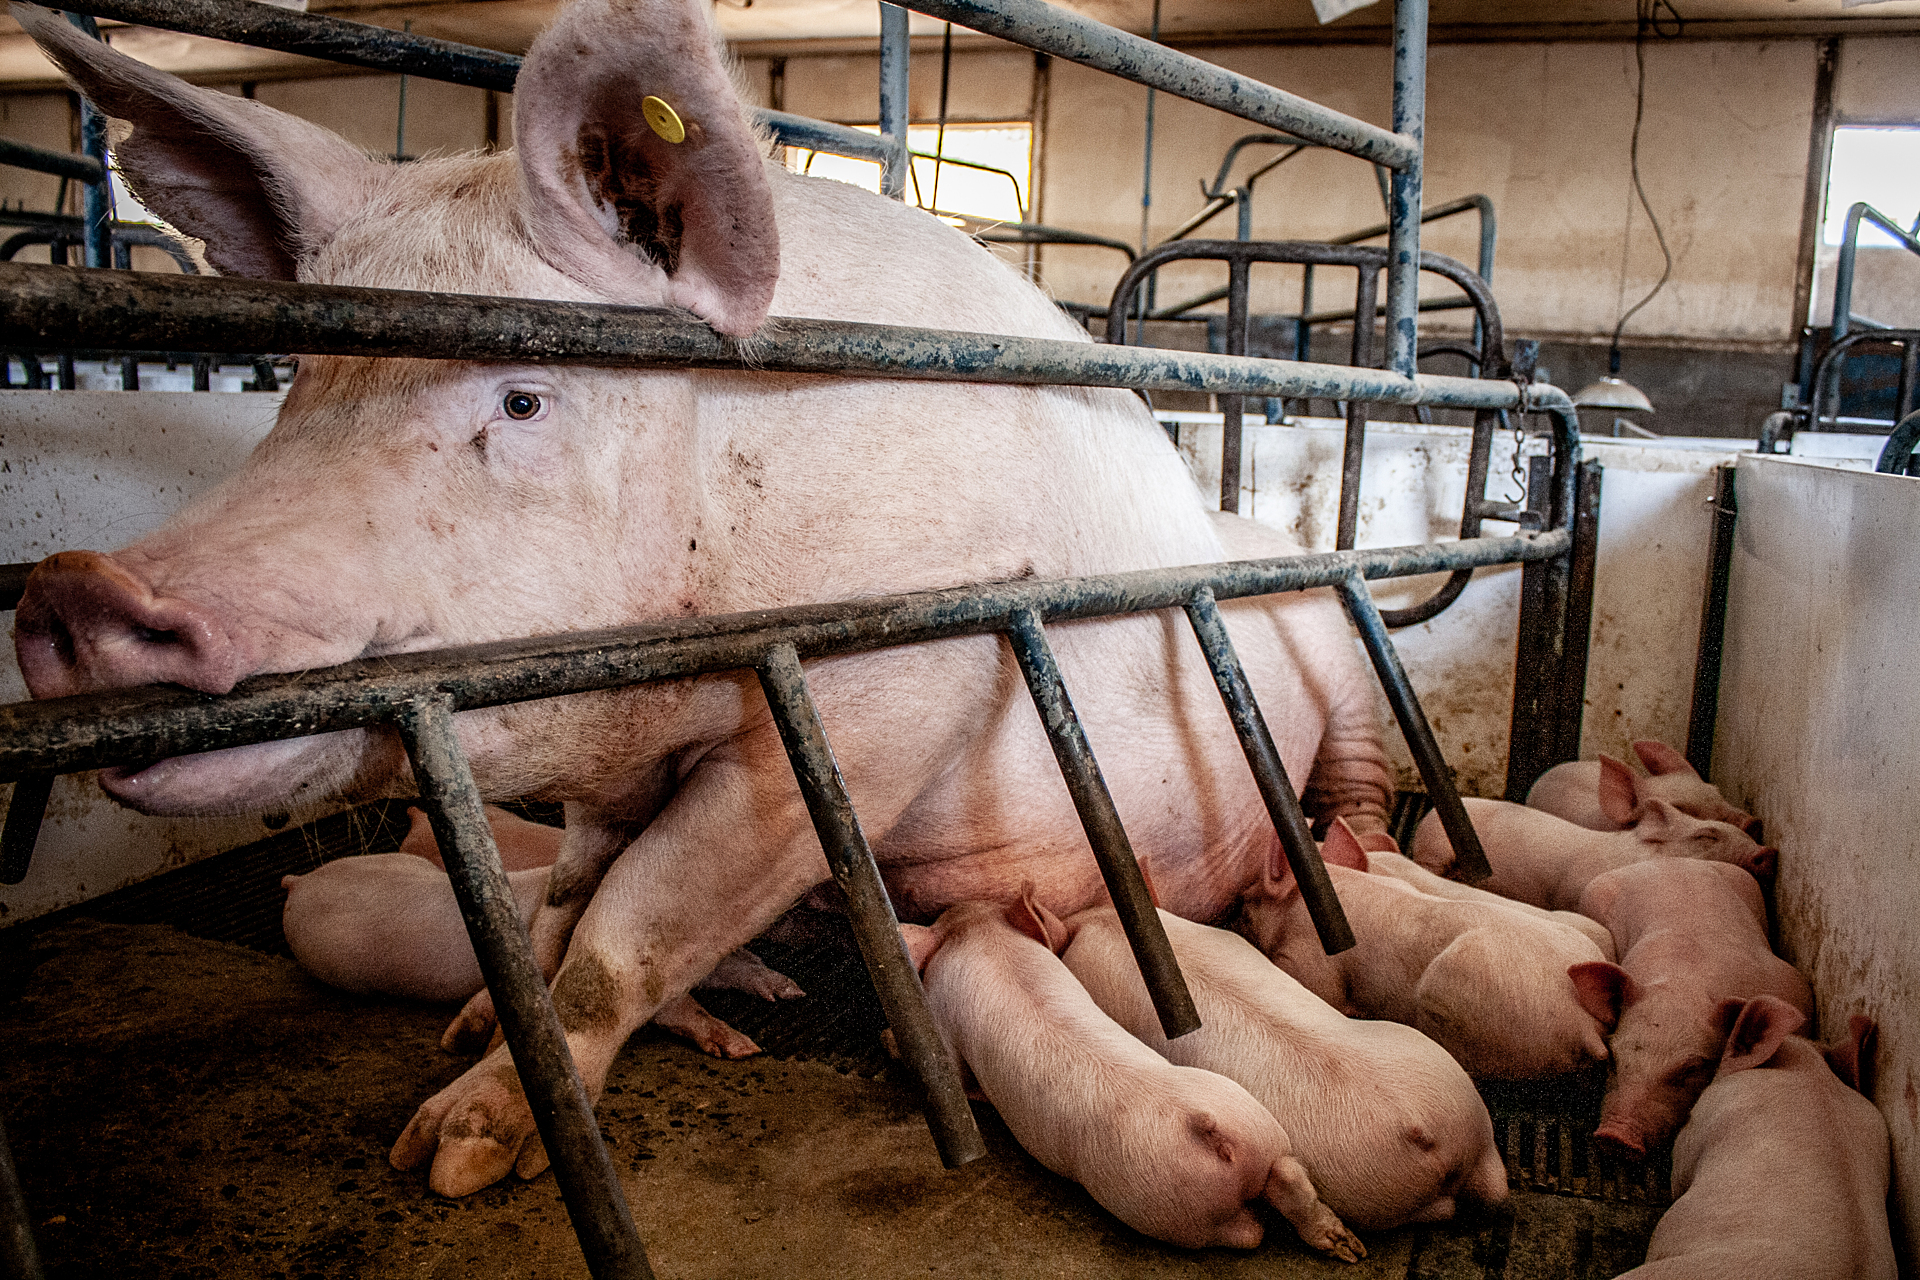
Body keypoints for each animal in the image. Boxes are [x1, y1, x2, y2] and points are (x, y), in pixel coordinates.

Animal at [12, 0, 1397, 1196]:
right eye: (298, 381)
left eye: (523, 396)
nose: (75, 591)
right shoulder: (610, 766)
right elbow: (558, 912)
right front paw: (468, 1030)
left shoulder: (865, 704)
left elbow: (620, 941)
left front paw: (452, 1154)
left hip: (1345, 676)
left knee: (1363, 791)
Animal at [900, 893, 1364, 1258]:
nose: (953, 905)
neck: (982, 938)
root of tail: (1207, 1129)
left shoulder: (943, 1019)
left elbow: (957, 1076)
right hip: (1258, 1127)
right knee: (1287, 1175)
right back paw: (1347, 1247)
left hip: (1162, 1206)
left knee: (1248, 1234)